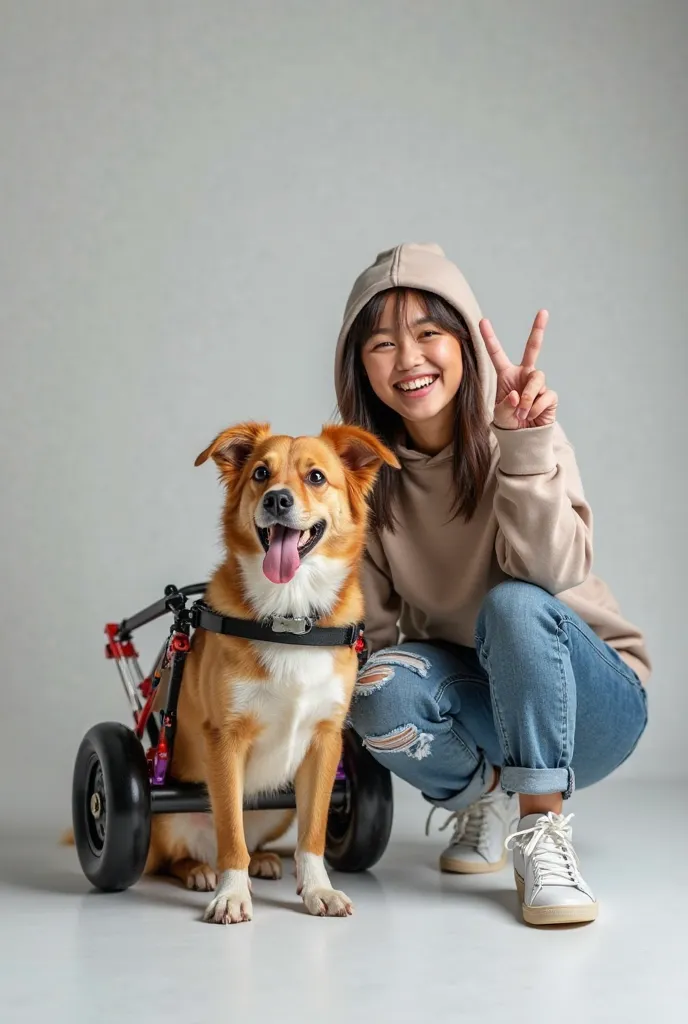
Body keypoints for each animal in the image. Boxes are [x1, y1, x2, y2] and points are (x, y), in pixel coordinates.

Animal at [146, 419, 403, 925]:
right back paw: (200, 871)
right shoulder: (225, 740)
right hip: (164, 815)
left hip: (278, 807)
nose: (277, 500)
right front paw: (230, 894)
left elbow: (314, 832)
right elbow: (230, 831)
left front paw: (318, 889)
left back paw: (265, 861)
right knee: (176, 856)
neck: (291, 616)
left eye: (317, 477)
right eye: (261, 474)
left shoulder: (325, 740)